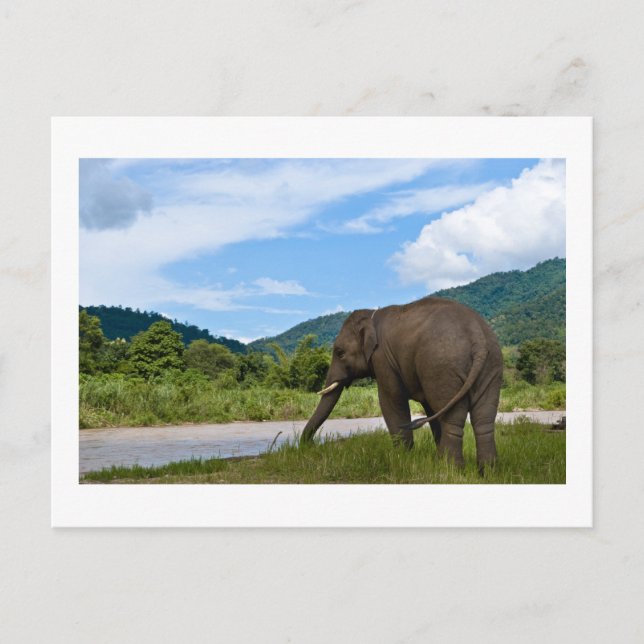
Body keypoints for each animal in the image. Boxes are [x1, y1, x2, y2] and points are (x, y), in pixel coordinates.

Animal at [300, 296, 503, 470]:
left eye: (340, 353)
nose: (312, 446)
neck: (371, 315)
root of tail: (477, 334)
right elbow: (429, 407)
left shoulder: (382, 358)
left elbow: (391, 399)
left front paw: (402, 458)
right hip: (490, 363)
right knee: (484, 418)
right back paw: (486, 471)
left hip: (443, 365)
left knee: (452, 418)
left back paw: (452, 471)